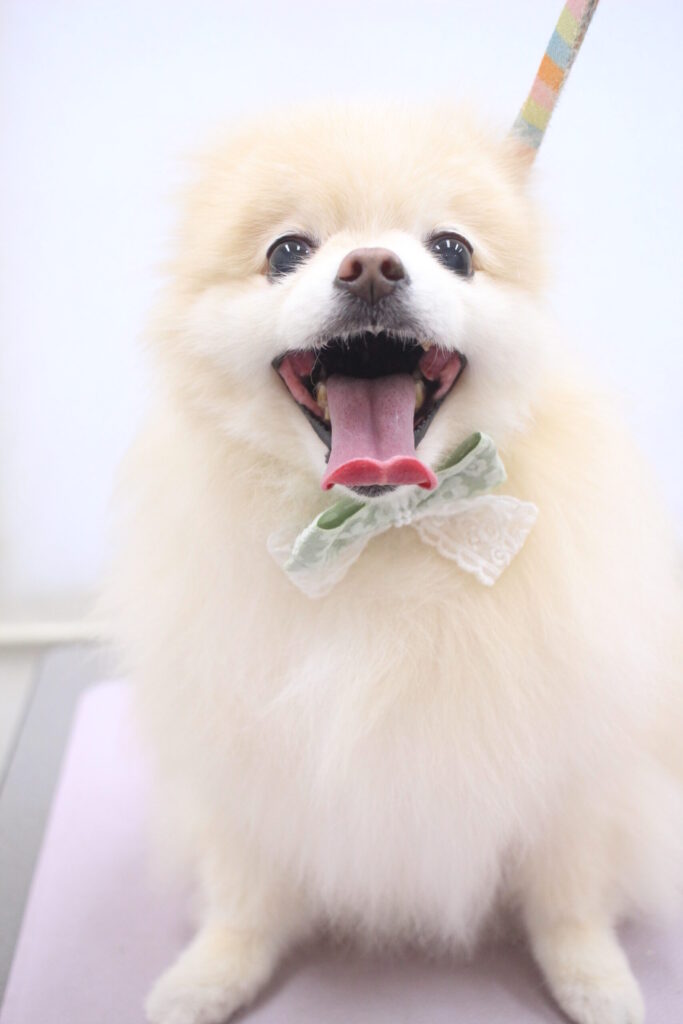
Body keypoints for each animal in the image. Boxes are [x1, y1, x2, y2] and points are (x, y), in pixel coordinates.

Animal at [106, 104, 683, 1024]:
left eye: (451, 249)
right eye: (286, 251)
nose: (371, 265)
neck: (381, 534)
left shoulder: (575, 765)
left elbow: (568, 896)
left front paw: (595, 984)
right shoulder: (243, 760)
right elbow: (244, 890)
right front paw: (208, 974)